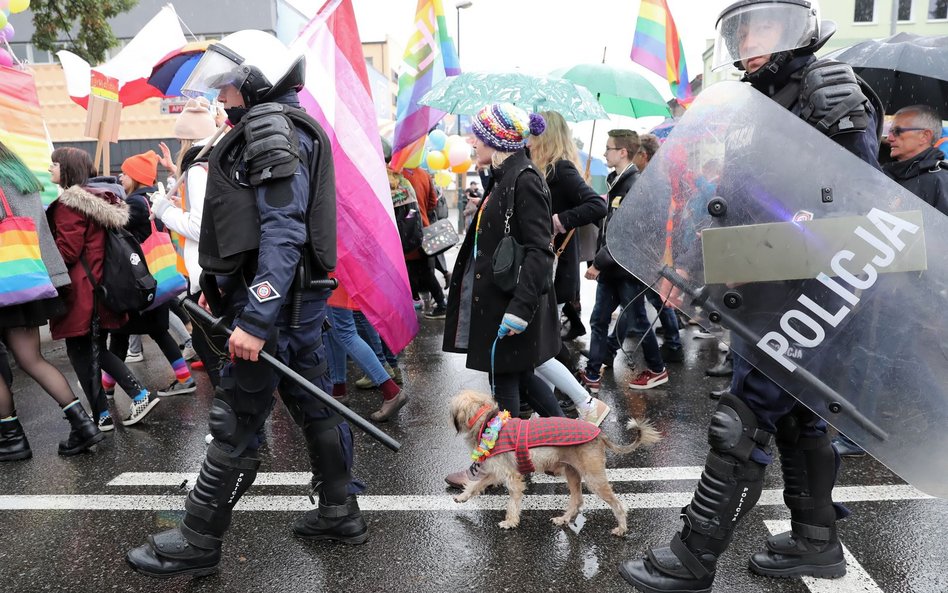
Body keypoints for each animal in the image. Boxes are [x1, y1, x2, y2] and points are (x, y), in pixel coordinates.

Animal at [450, 388, 660, 536]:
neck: (488, 423)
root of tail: (600, 434)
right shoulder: (495, 473)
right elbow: (476, 484)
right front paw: (463, 496)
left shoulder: (512, 478)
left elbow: (512, 503)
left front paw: (510, 522)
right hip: (572, 473)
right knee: (577, 500)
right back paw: (564, 519)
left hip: (594, 478)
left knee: (618, 505)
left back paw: (621, 528)